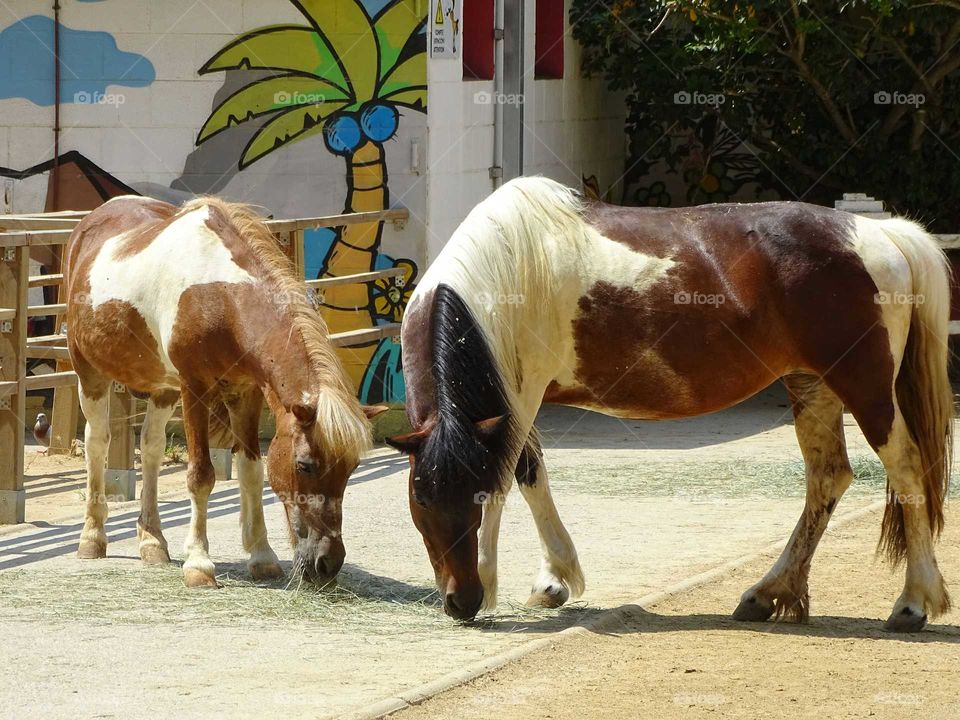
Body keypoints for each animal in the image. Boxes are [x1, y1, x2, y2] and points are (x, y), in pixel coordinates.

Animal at [64, 195, 381, 587]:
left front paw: (262, 556)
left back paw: (152, 541)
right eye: (304, 465)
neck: (220, 296)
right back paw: (92, 538)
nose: (327, 564)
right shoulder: (194, 388)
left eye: (352, 468)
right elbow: (201, 476)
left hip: (162, 388)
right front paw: (199, 564)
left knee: (151, 447)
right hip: (90, 372)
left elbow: (252, 471)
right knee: (97, 443)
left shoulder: (247, 391)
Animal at [387, 177, 953, 631]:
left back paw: (912, 604)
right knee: (828, 477)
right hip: (812, 385)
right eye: (421, 498)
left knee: (906, 469)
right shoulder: (514, 403)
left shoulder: (519, 398)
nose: (460, 601)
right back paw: (768, 594)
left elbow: (505, 482)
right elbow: (531, 475)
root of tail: (882, 235)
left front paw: (498, 579)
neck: (505, 275)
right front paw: (554, 580)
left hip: (865, 388)